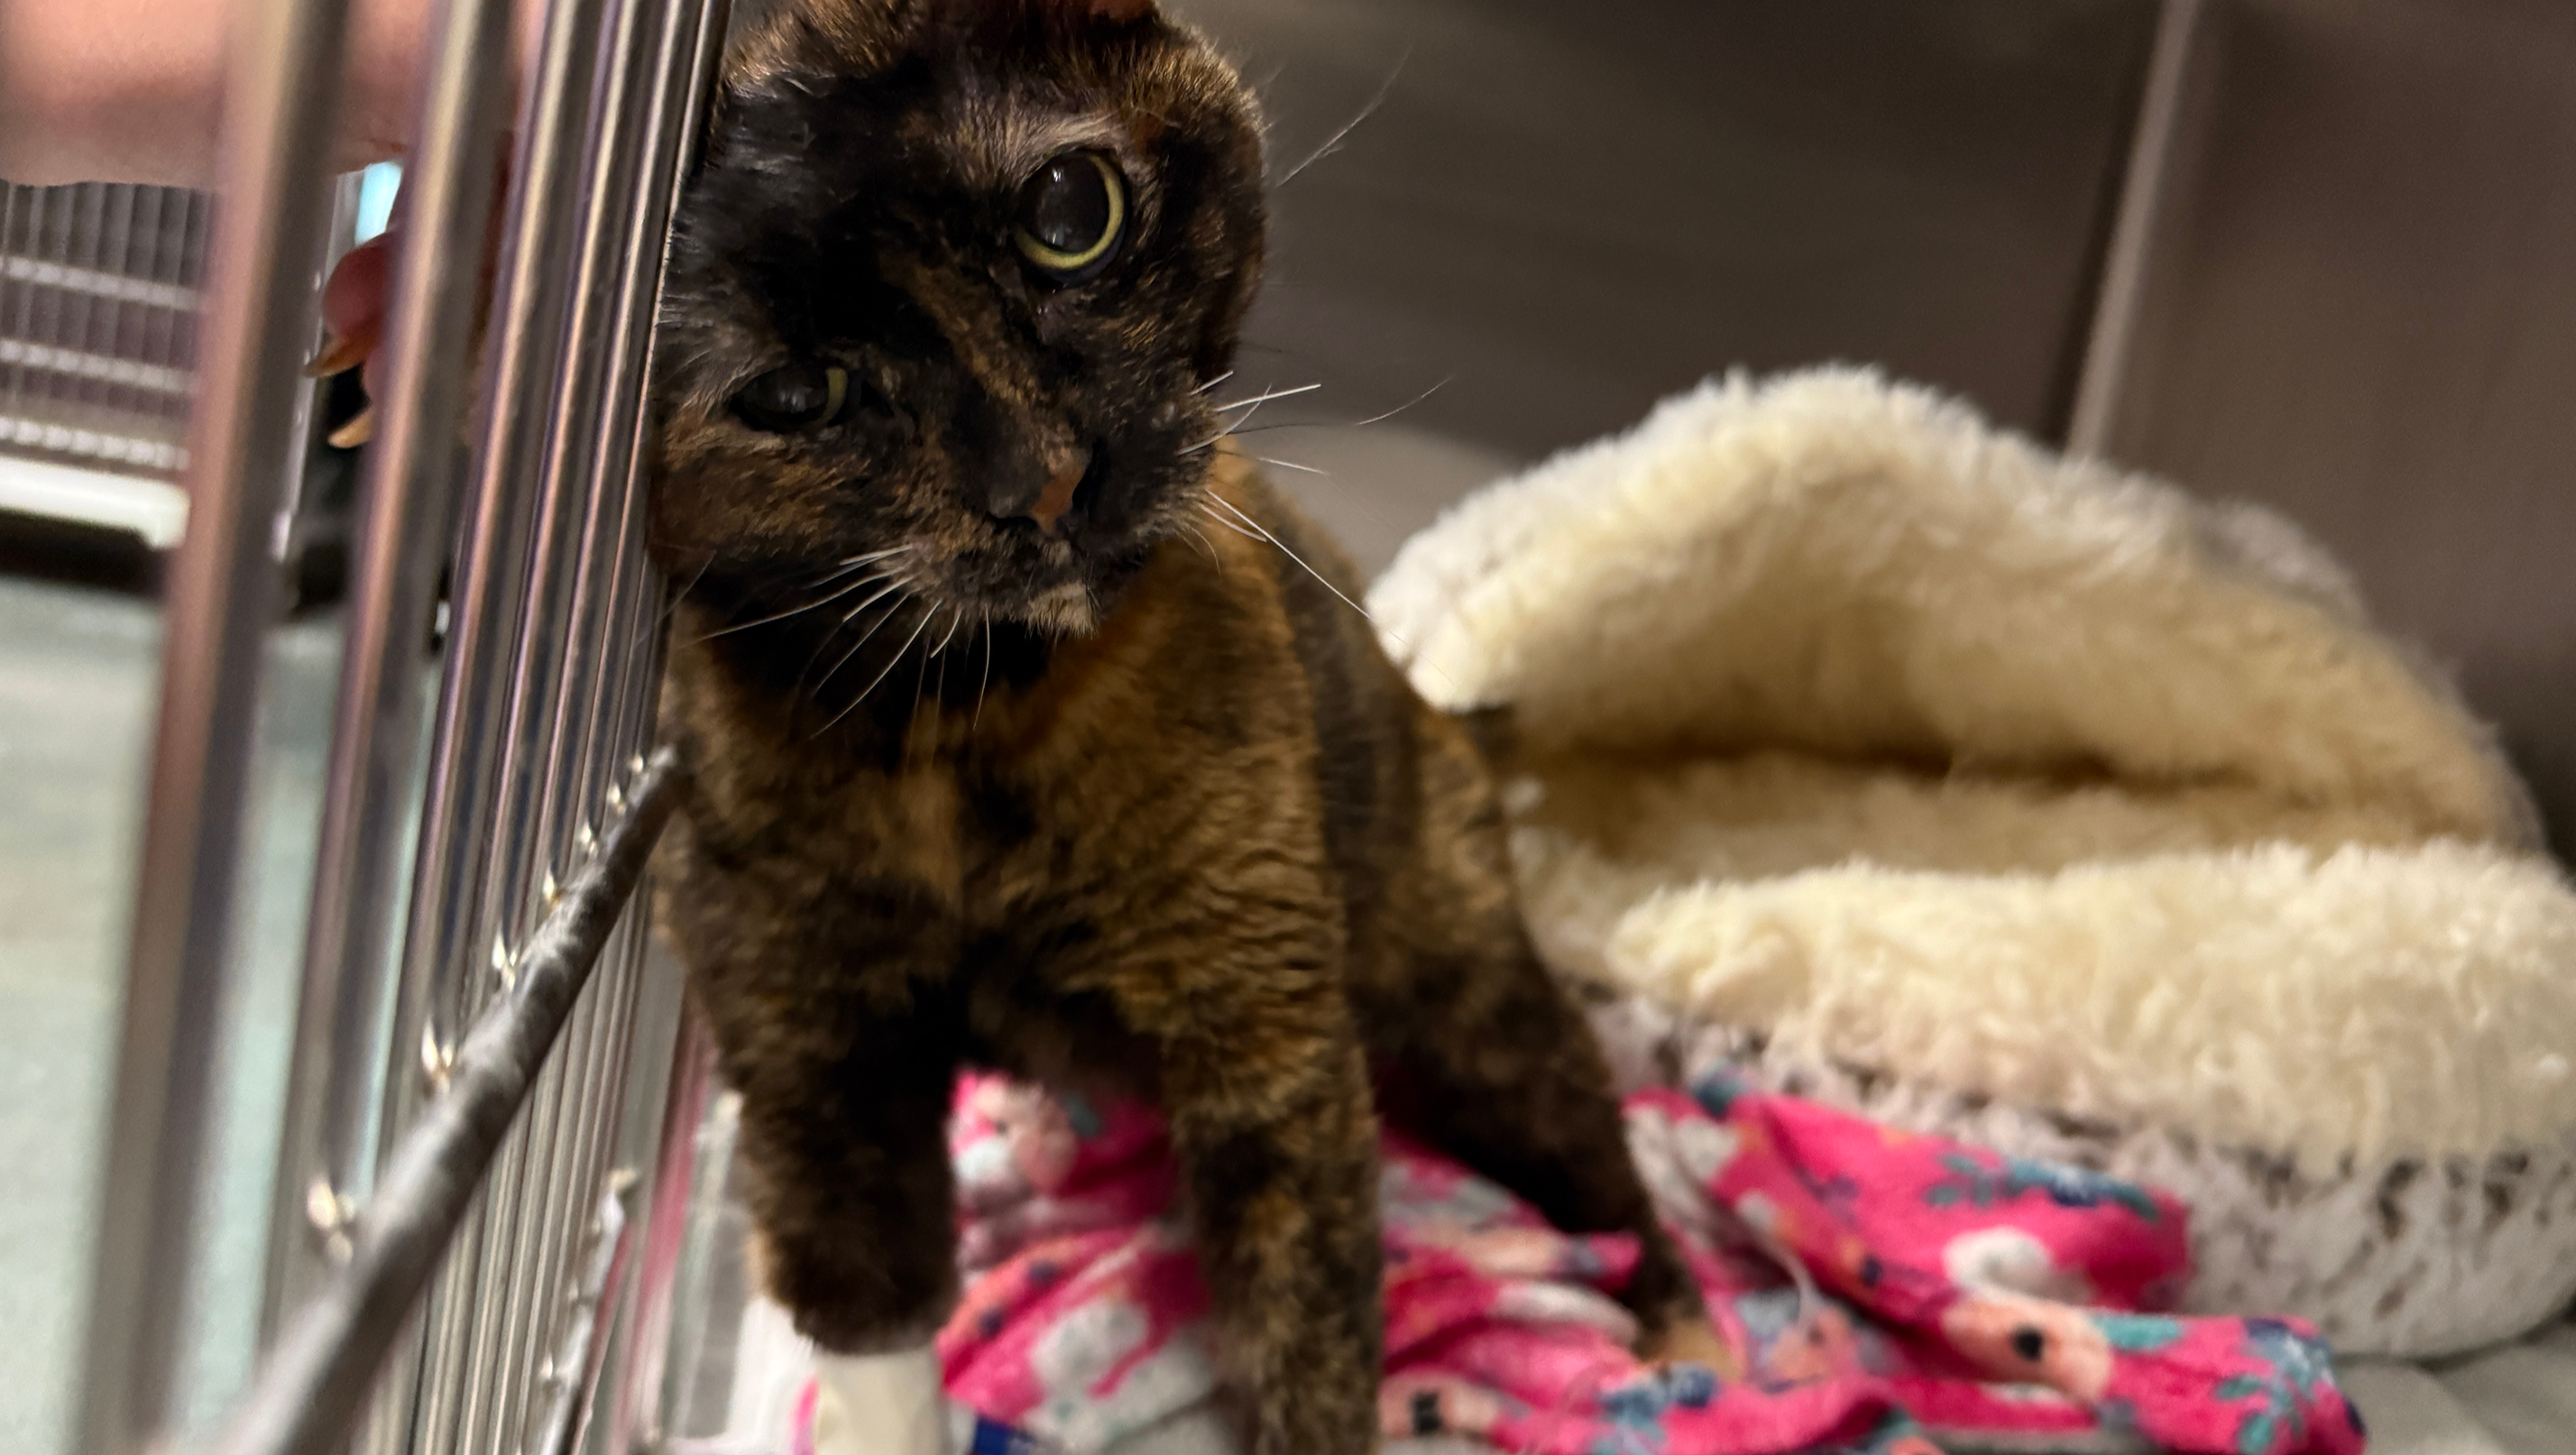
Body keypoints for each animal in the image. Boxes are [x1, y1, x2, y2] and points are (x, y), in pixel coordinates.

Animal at [646, 1, 1712, 1450]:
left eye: (1068, 210)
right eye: (794, 395)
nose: (1043, 478)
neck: (957, 732)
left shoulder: (1269, 1051)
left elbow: (1307, 1352)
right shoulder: (817, 1083)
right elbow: (875, 1360)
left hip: (1476, 997)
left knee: (1600, 1158)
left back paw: (1689, 1344)